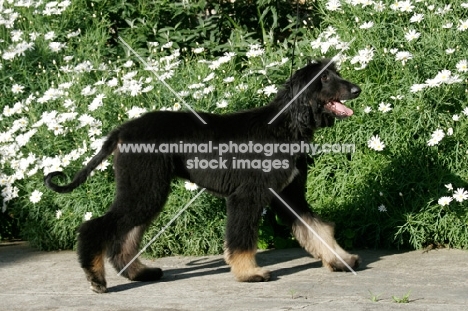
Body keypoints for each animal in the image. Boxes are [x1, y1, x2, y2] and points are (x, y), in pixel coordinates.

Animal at [44, 59, 362, 294]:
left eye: (335, 73)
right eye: (324, 78)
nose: (357, 89)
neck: (286, 125)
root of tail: (123, 130)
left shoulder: (288, 195)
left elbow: (318, 228)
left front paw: (341, 259)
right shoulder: (247, 196)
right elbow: (242, 238)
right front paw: (249, 273)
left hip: (146, 188)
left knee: (126, 235)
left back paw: (139, 272)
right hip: (145, 187)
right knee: (94, 228)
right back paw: (97, 279)